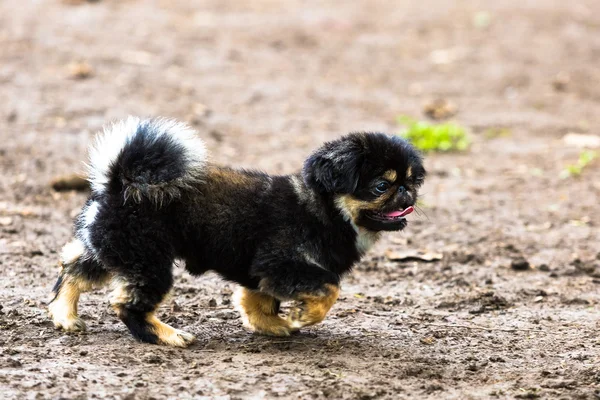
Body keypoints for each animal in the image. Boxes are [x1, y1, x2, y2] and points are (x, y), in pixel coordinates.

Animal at [48, 117, 426, 346]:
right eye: (381, 186)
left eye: (411, 181)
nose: (407, 194)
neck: (324, 210)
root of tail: (119, 183)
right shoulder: (281, 263)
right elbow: (329, 288)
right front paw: (304, 316)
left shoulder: (261, 273)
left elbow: (257, 301)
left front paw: (272, 326)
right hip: (148, 261)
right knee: (128, 305)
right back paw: (167, 336)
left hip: (111, 249)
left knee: (72, 270)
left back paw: (65, 317)